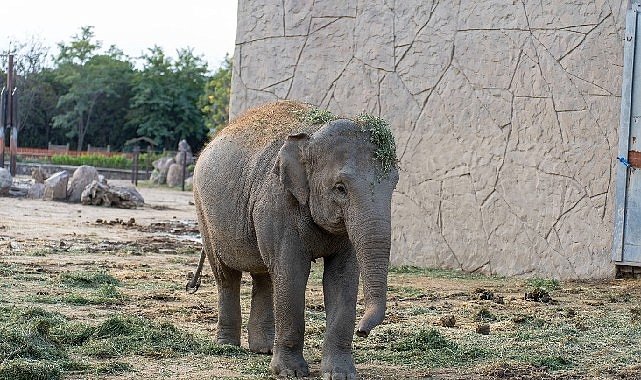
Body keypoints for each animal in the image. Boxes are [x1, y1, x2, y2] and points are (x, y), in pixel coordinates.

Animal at [190, 99, 398, 378]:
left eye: (394, 184)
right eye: (340, 188)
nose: (362, 331)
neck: (311, 135)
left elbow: (342, 277)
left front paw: (340, 374)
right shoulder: (278, 203)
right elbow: (291, 271)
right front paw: (290, 373)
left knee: (265, 275)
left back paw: (264, 348)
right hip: (204, 213)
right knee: (227, 276)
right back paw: (228, 347)